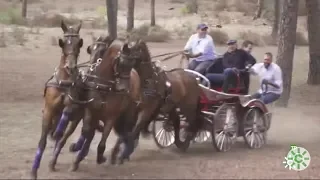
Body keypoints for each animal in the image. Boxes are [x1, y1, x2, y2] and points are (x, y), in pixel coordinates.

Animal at [30, 20, 83, 180]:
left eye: (79, 43)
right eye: (63, 42)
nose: (70, 66)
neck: (63, 82)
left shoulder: (70, 105)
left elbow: (62, 127)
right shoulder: (48, 110)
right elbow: (42, 141)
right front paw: (33, 171)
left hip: (76, 119)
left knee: (64, 136)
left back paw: (53, 161)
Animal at [69, 38, 140, 171]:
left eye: (132, 63)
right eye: (120, 62)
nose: (124, 89)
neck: (103, 87)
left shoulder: (111, 117)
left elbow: (102, 141)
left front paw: (100, 157)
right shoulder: (90, 110)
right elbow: (86, 131)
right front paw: (77, 150)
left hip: (128, 113)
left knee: (124, 133)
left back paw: (117, 155)